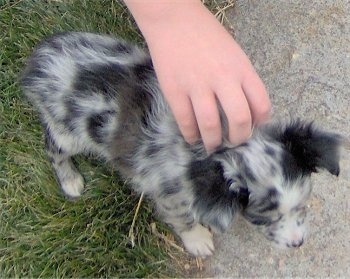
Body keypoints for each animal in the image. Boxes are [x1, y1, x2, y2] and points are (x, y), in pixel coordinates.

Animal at [19, 32, 342, 258]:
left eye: (303, 205)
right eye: (262, 219)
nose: (298, 243)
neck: (217, 149)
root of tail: (36, 64)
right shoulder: (170, 193)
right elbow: (182, 218)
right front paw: (198, 240)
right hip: (68, 132)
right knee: (52, 145)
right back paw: (70, 180)